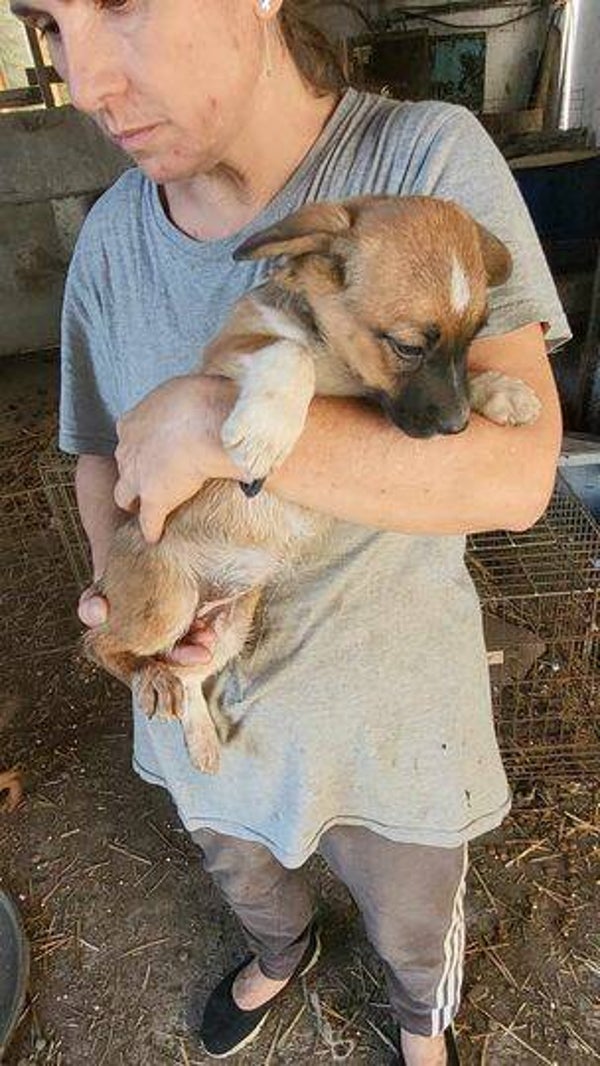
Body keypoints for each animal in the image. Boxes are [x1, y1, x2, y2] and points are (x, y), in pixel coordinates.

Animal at [85, 195, 541, 773]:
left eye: (477, 334)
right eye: (408, 346)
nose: (458, 428)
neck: (335, 354)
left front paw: (502, 390)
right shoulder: (227, 353)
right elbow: (288, 352)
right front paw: (265, 430)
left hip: (225, 629)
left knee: (188, 675)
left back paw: (201, 737)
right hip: (166, 603)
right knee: (99, 642)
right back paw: (148, 678)